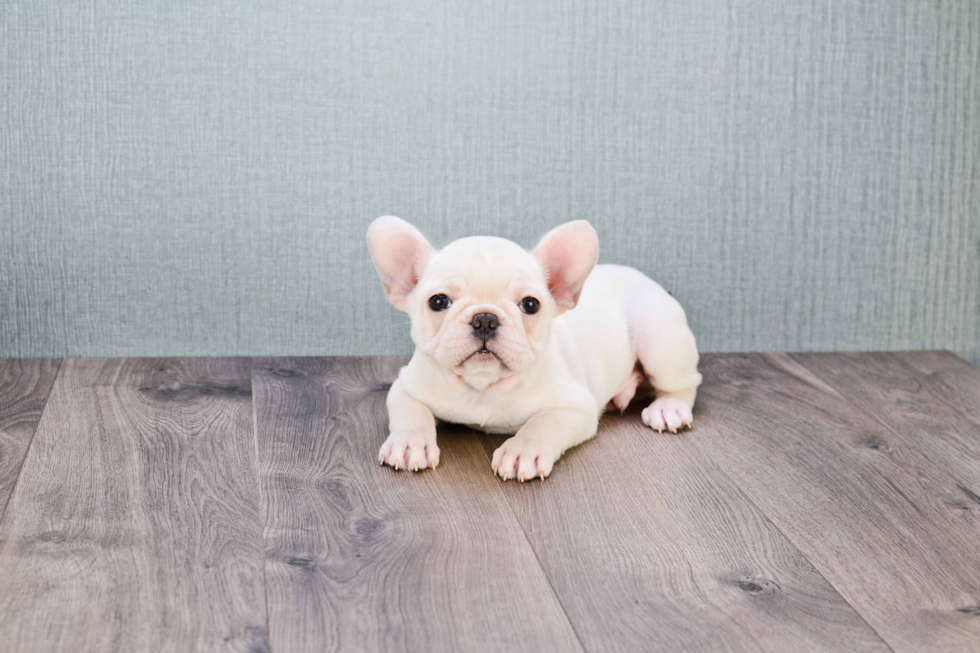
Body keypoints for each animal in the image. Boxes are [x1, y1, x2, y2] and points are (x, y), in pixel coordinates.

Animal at [366, 218, 696, 478]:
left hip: (657, 337)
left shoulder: (576, 405)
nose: (485, 319)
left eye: (530, 305)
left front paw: (523, 450)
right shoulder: (405, 387)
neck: (483, 388)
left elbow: (544, 422)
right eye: (438, 301)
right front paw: (409, 442)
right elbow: (411, 412)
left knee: (684, 383)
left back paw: (669, 408)